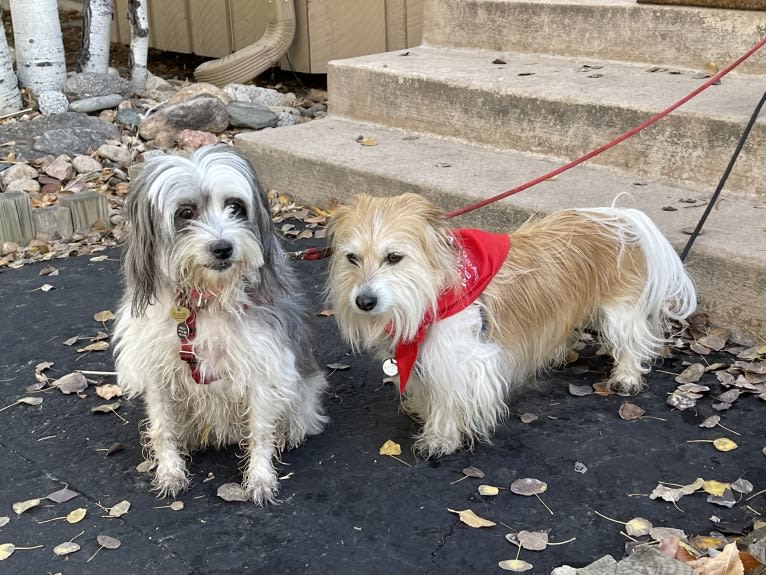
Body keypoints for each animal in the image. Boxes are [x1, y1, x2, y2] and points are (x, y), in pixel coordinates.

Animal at [114, 144, 328, 504]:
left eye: (235, 207)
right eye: (185, 212)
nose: (223, 248)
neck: (203, 303)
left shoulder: (262, 365)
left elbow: (260, 429)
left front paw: (260, 477)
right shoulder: (157, 369)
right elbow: (162, 427)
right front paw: (170, 471)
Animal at [328, 194, 700, 460]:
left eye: (394, 257)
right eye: (351, 258)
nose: (364, 301)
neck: (434, 292)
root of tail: (614, 216)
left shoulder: (463, 362)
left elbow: (449, 398)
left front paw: (440, 436)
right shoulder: (423, 354)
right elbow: (424, 388)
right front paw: (423, 411)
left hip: (620, 311)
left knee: (631, 342)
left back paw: (626, 376)